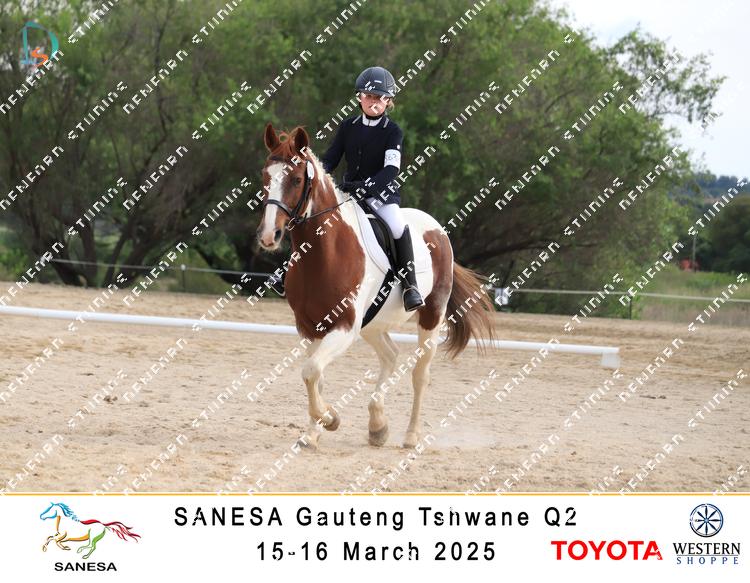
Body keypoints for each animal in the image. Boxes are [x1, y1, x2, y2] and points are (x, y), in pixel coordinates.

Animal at [256, 123, 496, 450]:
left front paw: (330, 419)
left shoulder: (344, 327)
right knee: (391, 355)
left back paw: (410, 436)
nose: (269, 235)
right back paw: (377, 425)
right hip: (373, 323)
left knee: (420, 374)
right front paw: (313, 432)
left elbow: (311, 371)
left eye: (295, 179)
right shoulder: (309, 327)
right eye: (265, 176)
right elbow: (315, 376)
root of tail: (437, 229)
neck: (323, 253)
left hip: (431, 317)